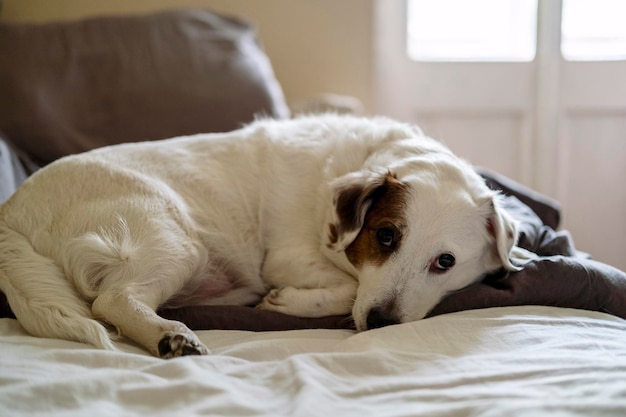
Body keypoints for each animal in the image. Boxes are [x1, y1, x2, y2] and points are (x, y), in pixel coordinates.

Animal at [0, 114, 516, 358]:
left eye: (445, 262)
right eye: (385, 237)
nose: (382, 323)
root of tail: (12, 211)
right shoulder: (285, 259)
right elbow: (347, 287)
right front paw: (287, 300)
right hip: (176, 239)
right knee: (112, 300)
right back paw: (170, 336)